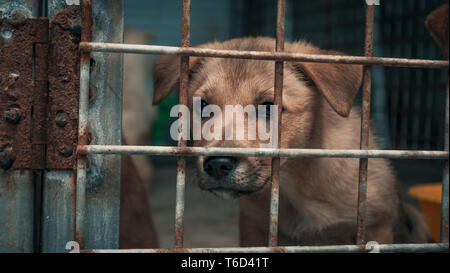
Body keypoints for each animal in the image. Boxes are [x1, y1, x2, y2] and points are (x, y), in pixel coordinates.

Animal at [151, 37, 428, 245]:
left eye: (268, 107)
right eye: (203, 105)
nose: (218, 164)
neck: (292, 188)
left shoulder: (375, 226)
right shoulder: (253, 227)